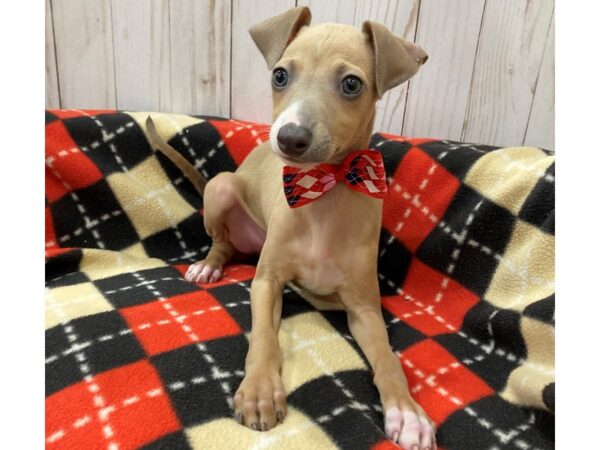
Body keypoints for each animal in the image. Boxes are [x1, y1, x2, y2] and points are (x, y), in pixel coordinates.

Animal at [164, 7, 434, 450]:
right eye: (280, 75)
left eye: (351, 83)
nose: (289, 138)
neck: (323, 191)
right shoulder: (266, 281)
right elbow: (263, 336)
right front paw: (259, 389)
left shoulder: (364, 308)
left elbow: (387, 358)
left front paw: (407, 412)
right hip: (222, 187)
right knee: (221, 242)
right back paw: (208, 266)